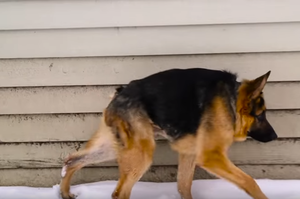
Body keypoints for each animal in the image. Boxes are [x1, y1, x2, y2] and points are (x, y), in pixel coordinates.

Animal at [59, 67, 278, 198]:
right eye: (261, 116)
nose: (276, 137)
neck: (231, 100)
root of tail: (119, 93)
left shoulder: (189, 154)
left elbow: (184, 185)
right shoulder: (211, 156)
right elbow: (250, 181)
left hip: (116, 147)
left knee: (72, 160)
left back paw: (65, 192)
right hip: (141, 154)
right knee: (119, 193)